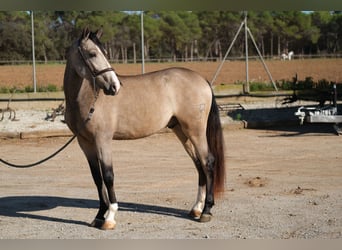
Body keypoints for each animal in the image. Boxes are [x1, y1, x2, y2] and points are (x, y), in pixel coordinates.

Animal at [62, 27, 226, 230]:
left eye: (104, 53)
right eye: (92, 53)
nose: (114, 86)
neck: (86, 99)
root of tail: (202, 80)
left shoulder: (103, 140)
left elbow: (108, 175)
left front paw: (110, 217)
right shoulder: (85, 143)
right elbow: (97, 178)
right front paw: (99, 215)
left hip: (195, 131)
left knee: (208, 162)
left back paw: (206, 211)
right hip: (182, 131)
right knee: (199, 164)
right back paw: (196, 208)